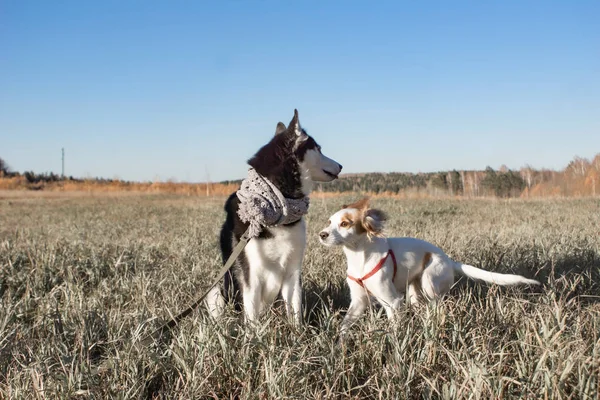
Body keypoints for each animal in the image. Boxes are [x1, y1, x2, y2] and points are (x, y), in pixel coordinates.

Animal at [322, 198, 540, 332]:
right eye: (329, 221)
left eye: (345, 223)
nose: (321, 235)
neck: (359, 257)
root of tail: (449, 260)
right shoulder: (358, 301)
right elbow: (344, 327)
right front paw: (339, 348)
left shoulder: (391, 301)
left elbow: (394, 328)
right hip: (414, 291)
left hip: (429, 283)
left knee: (435, 309)